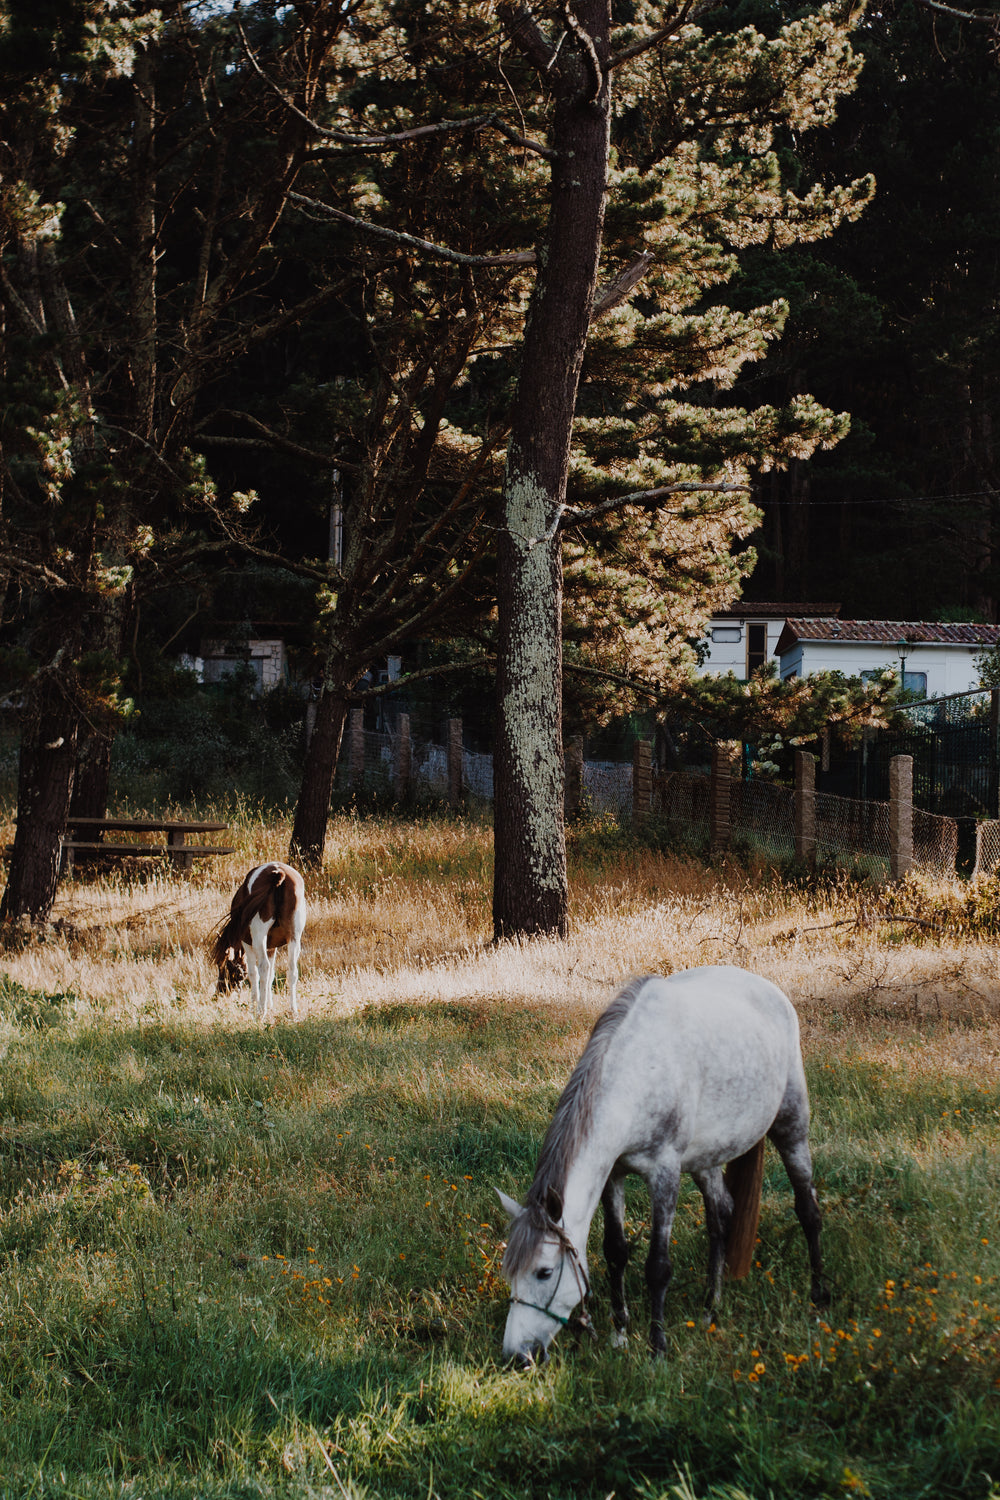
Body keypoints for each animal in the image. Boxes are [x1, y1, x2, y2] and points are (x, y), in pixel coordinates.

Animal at [209, 870, 305, 1020]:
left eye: (221, 967)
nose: (218, 993)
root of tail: (278, 873)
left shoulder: (247, 942)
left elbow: (253, 973)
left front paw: (255, 1004)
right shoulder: (271, 947)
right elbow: (271, 975)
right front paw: (269, 1004)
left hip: (259, 937)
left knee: (263, 967)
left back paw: (260, 1011)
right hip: (294, 937)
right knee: (292, 971)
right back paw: (292, 1010)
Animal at [497, 966, 827, 1368]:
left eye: (544, 1272)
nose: (517, 1356)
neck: (636, 1074)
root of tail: (772, 992)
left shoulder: (664, 1175)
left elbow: (657, 1267)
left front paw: (657, 1348)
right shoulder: (614, 1174)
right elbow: (616, 1252)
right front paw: (620, 1335)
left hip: (791, 1128)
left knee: (808, 1210)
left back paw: (819, 1299)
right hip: (706, 1159)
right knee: (722, 1216)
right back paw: (710, 1307)